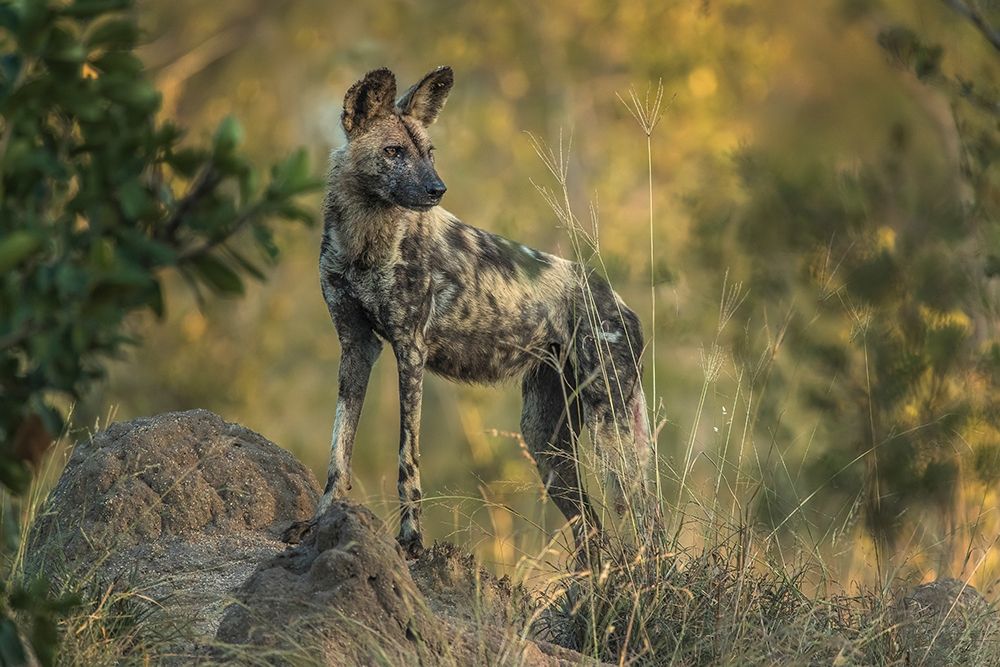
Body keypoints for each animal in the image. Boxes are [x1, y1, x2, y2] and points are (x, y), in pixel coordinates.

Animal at [284, 66, 656, 560]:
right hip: (546, 445)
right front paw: (319, 523)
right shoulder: (356, 346)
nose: (437, 189)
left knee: (643, 518)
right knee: (591, 532)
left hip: (609, 427)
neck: (365, 239)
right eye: (393, 152)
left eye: (429, 153)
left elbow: (407, 461)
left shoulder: (410, 350)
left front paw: (411, 541)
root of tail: (618, 299)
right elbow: (338, 453)